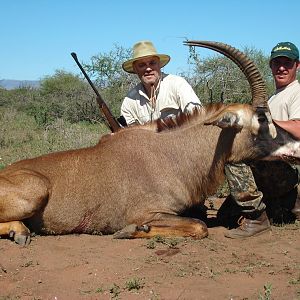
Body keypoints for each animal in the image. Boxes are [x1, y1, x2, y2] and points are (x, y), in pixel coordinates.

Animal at [0, 42, 300, 245]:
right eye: (261, 119)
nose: (296, 145)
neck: (171, 155)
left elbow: (198, 224)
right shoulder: (149, 212)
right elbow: (198, 226)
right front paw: (130, 230)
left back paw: (21, 231)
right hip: (36, 190)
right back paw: (20, 232)